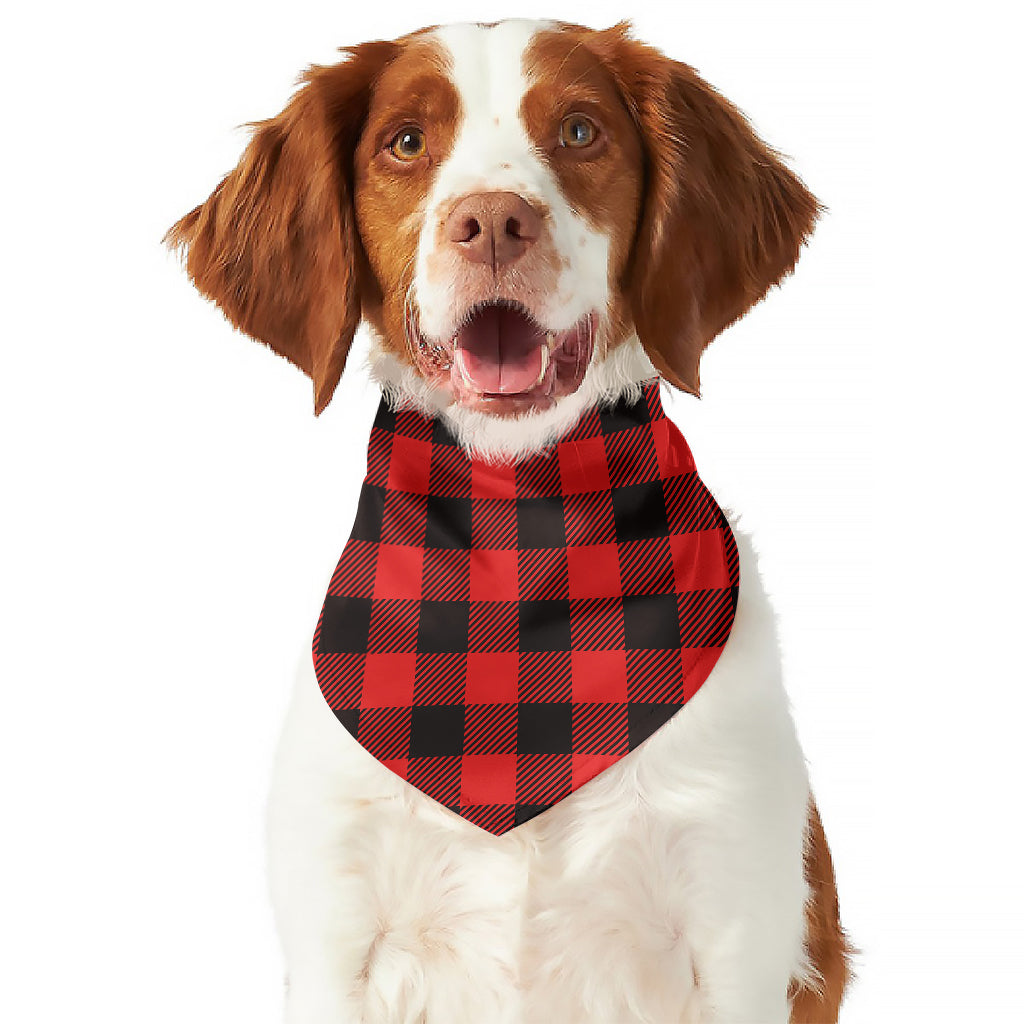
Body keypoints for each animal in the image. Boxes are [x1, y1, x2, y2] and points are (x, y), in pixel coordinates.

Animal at [167, 16, 851, 1024]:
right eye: (406, 142)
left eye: (579, 131)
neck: (519, 523)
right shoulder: (336, 929)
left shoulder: (737, 921)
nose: (492, 222)